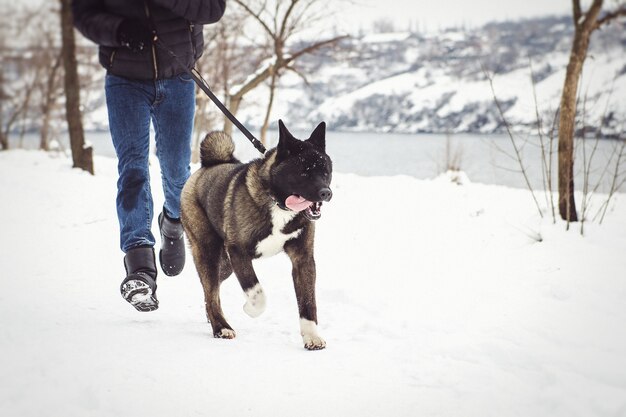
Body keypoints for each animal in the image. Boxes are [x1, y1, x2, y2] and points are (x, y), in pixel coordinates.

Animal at [180, 121, 332, 352]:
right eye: (304, 172)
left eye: (325, 172)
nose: (326, 193)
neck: (278, 204)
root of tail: (208, 166)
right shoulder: (239, 252)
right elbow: (257, 294)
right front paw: (249, 309)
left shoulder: (303, 260)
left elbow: (308, 302)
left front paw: (311, 336)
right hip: (209, 251)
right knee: (211, 292)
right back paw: (221, 327)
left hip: (225, 264)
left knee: (211, 291)